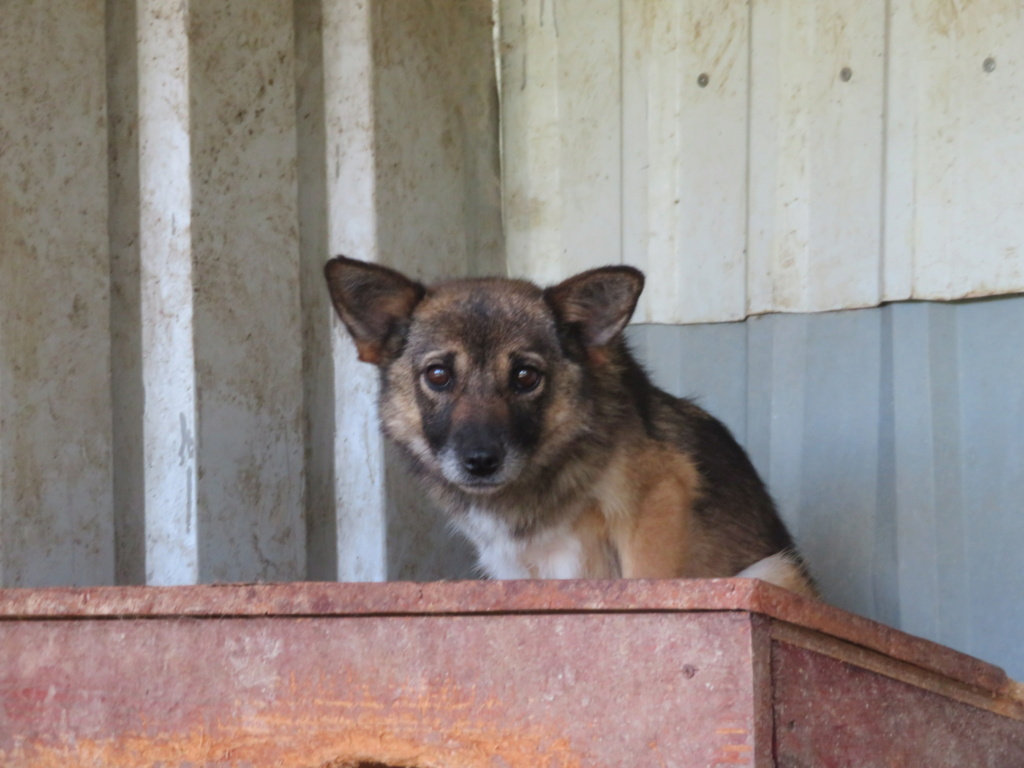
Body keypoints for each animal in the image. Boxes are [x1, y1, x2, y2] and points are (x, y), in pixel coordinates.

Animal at [325, 256, 815, 598]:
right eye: (438, 375)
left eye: (526, 376)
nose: (480, 461)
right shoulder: (512, 565)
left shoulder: (657, 499)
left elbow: (649, 583)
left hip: (774, 569)